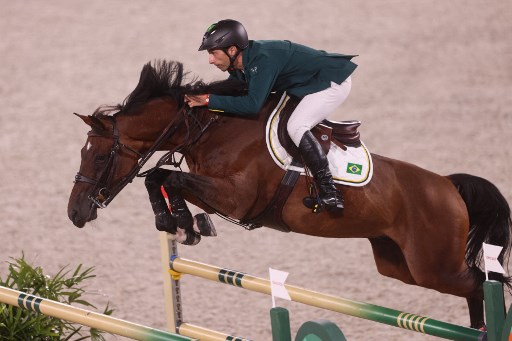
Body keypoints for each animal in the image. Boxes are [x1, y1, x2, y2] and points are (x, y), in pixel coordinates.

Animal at [68, 59, 512, 330]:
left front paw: (180, 221)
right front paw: (181, 223)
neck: (211, 130)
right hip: (399, 264)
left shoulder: (236, 197)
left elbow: (164, 177)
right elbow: (160, 178)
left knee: (480, 283)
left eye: (101, 155)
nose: (75, 213)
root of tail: (448, 185)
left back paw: (483, 329)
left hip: (434, 266)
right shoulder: (217, 192)